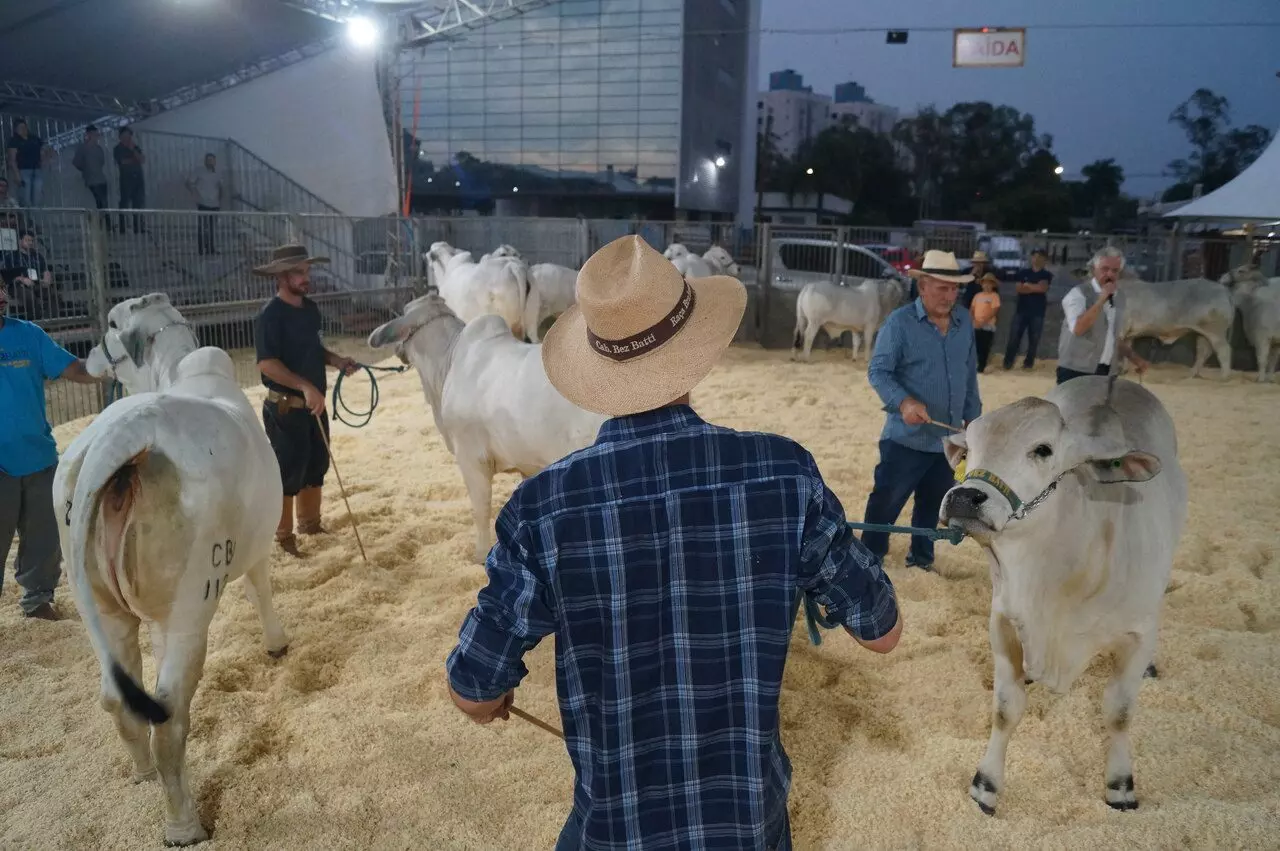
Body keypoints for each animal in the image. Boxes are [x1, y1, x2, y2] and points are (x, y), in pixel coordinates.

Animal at [53, 291, 288, 844]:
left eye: (111, 323)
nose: (87, 356)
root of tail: (125, 429)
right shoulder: (254, 549)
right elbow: (260, 588)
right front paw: (277, 644)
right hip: (190, 601)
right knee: (170, 715)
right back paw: (184, 826)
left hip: (99, 605)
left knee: (117, 697)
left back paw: (140, 774)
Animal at [936, 376, 1182, 819]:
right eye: (971, 448)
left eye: (1043, 449)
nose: (963, 497)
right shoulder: (1003, 622)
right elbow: (1006, 707)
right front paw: (986, 785)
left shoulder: (1137, 635)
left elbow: (1120, 712)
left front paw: (1120, 785)